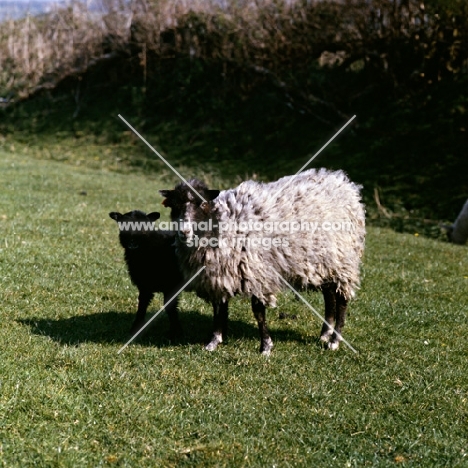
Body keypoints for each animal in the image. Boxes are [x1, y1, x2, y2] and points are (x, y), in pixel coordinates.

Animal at [109, 210, 184, 338]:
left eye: (144, 225)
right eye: (123, 224)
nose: (132, 242)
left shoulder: (170, 285)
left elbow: (170, 307)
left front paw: (175, 332)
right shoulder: (144, 285)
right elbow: (142, 305)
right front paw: (135, 329)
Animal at [161, 166, 366, 352]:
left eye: (203, 204)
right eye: (175, 206)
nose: (184, 232)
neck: (222, 225)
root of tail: (342, 182)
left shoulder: (257, 273)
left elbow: (258, 312)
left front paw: (266, 346)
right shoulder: (218, 276)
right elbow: (219, 310)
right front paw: (213, 341)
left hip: (343, 261)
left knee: (342, 301)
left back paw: (334, 341)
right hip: (324, 263)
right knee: (329, 296)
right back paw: (324, 334)